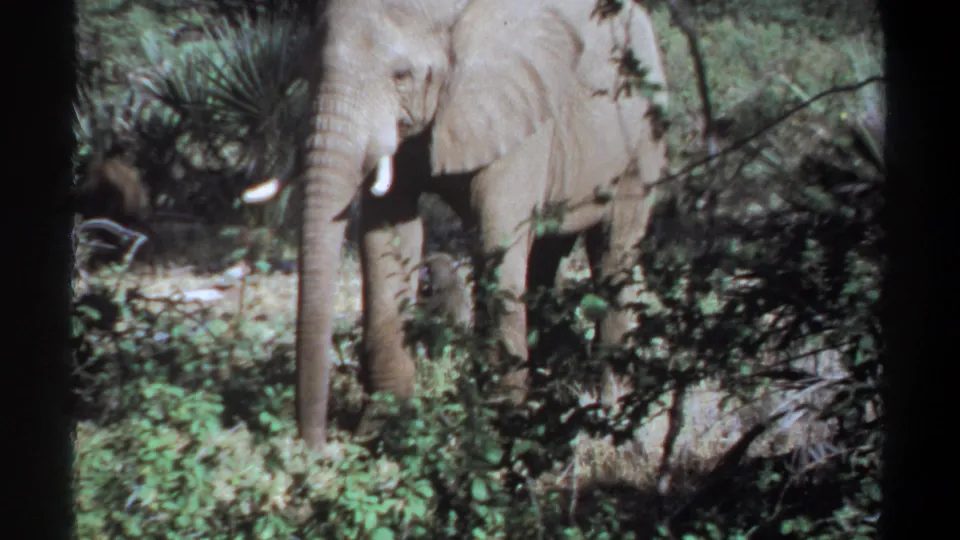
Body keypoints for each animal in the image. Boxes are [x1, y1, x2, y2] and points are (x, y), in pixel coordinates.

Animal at [295, 0, 669, 449]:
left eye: (401, 75)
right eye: (306, 68)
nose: (317, 450)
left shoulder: (519, 109)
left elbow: (497, 238)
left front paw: (498, 433)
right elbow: (387, 237)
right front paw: (383, 432)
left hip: (642, 140)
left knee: (614, 251)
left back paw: (609, 409)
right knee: (546, 257)